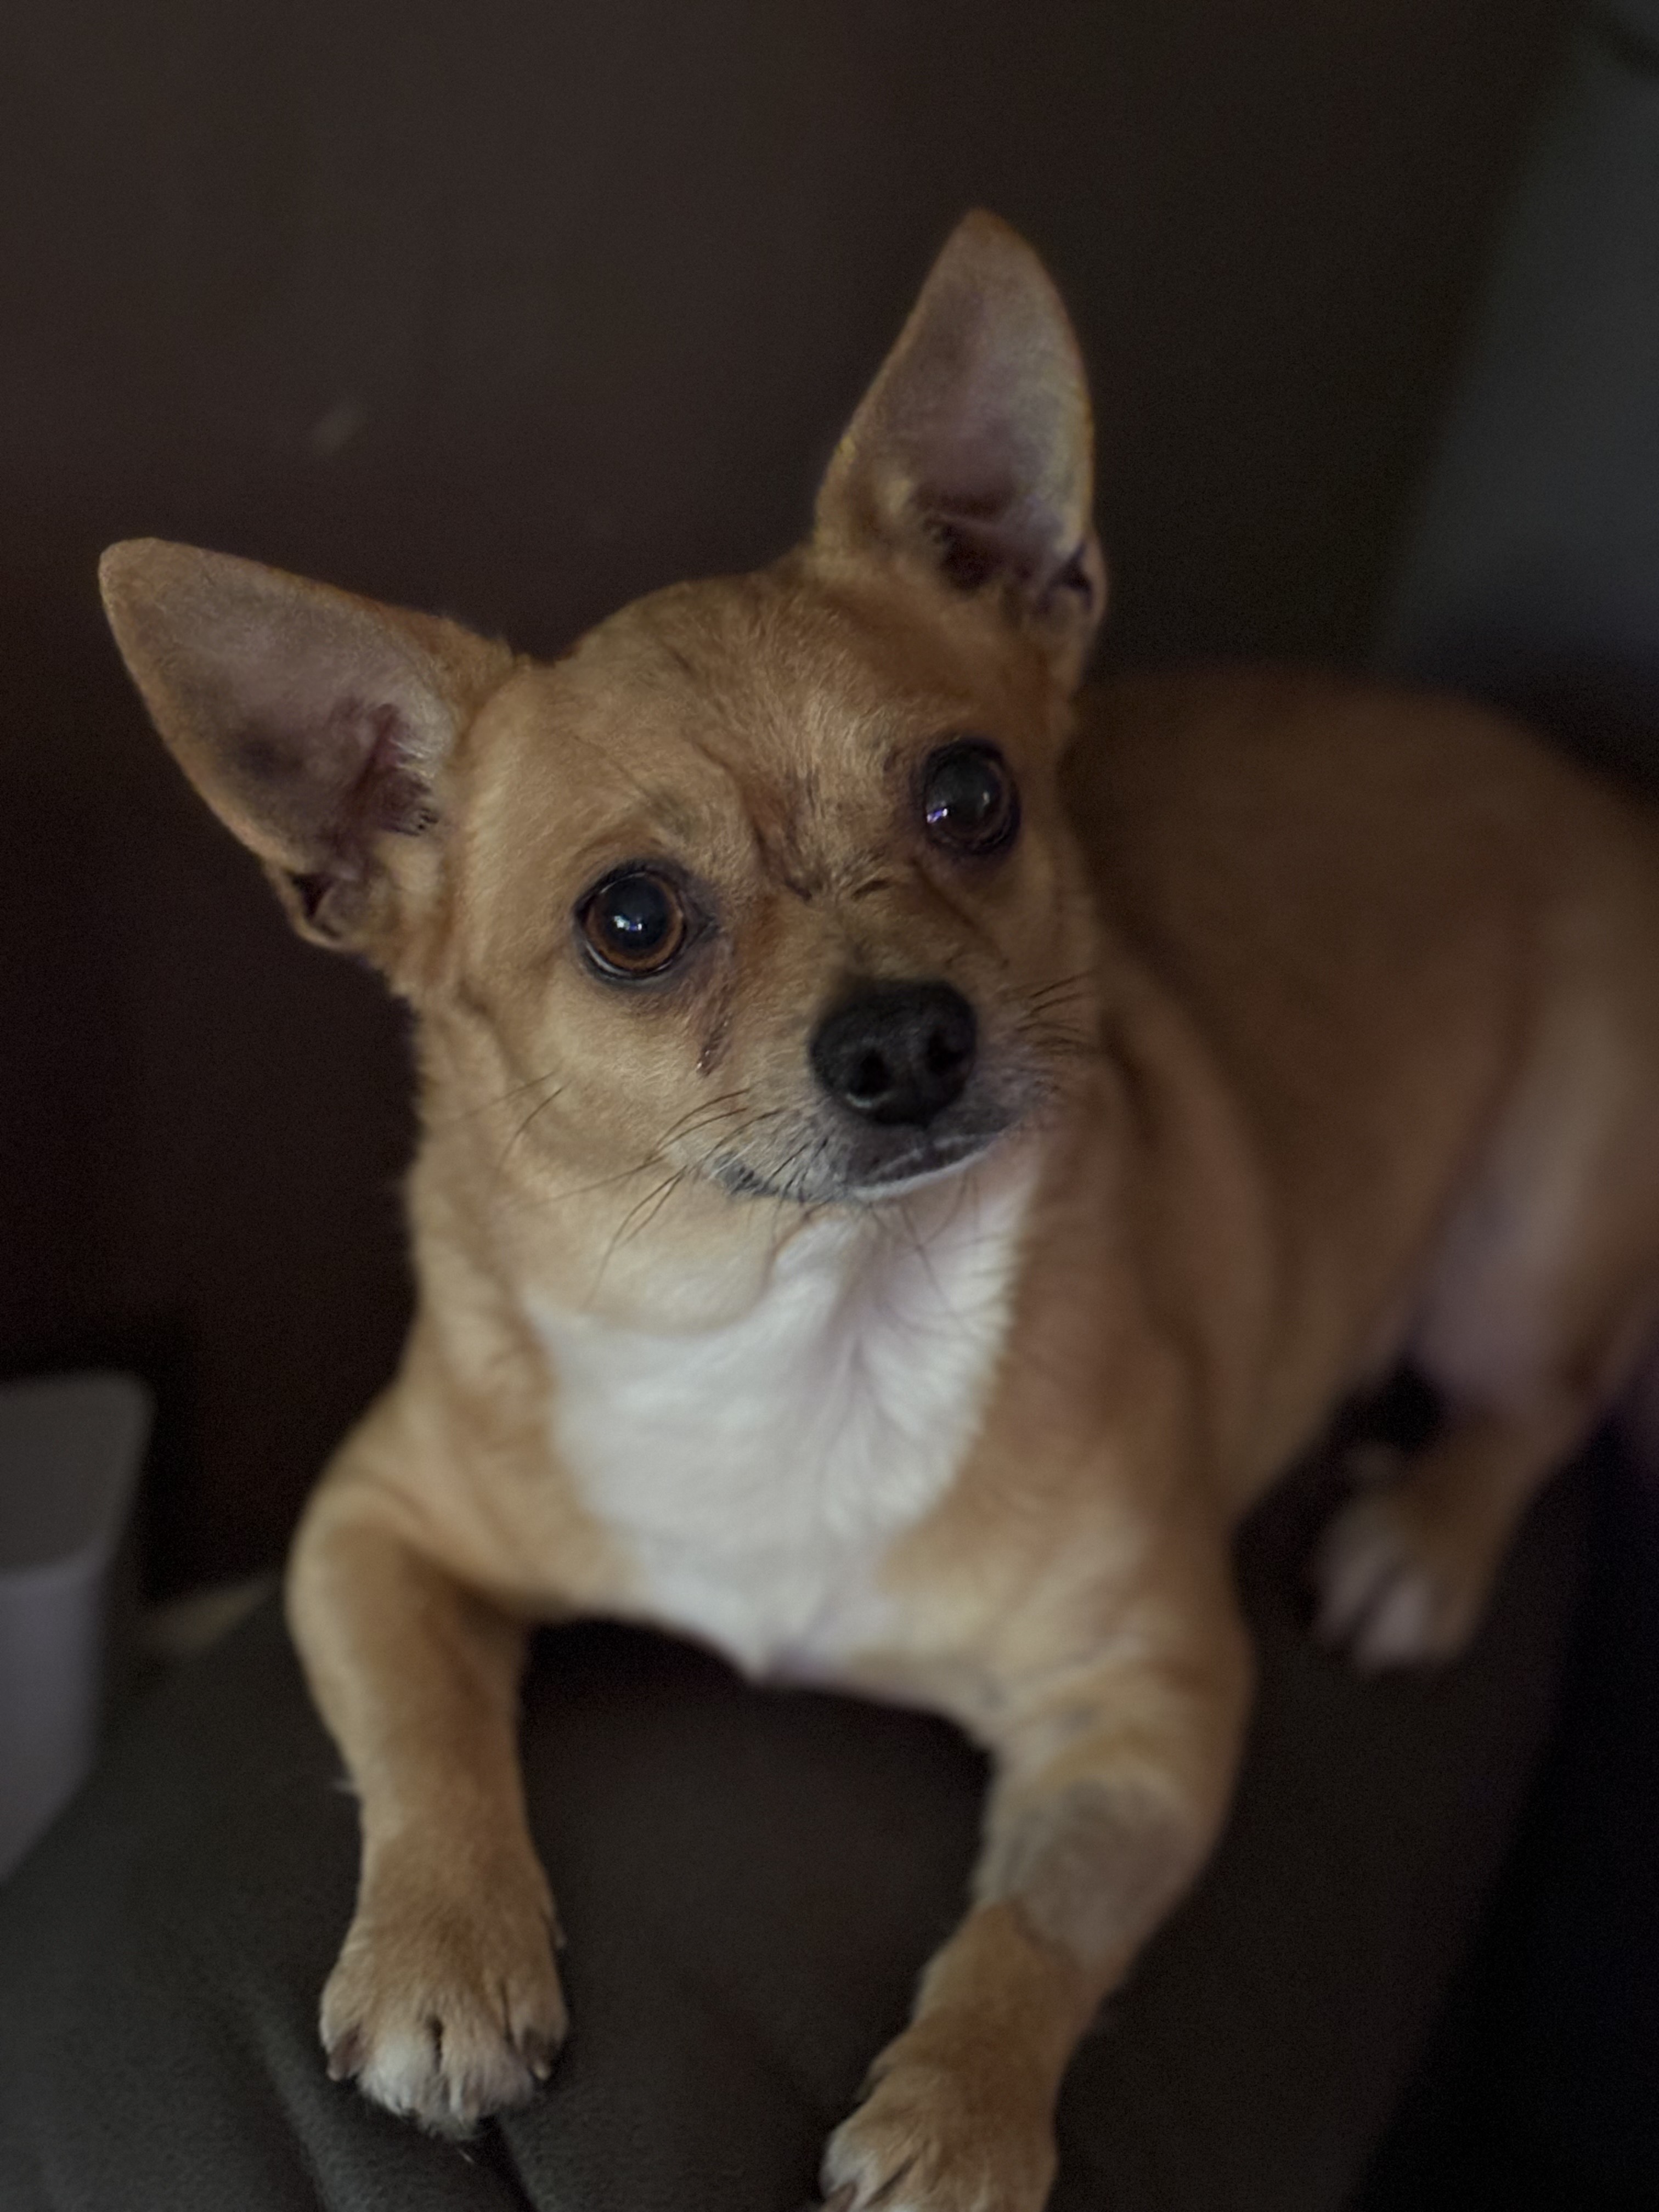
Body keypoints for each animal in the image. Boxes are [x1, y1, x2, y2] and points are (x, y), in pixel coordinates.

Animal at [100, 211, 1659, 2212]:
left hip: (1517, 1254)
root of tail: (1595, 793)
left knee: (1540, 1403)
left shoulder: (1147, 1705)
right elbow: (425, 1738)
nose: (905, 1036)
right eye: (629, 922)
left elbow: (1035, 1931)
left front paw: (957, 2120)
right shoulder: (366, 1528)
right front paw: (444, 1959)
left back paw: (1425, 1543)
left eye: (972, 794)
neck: (802, 1308)